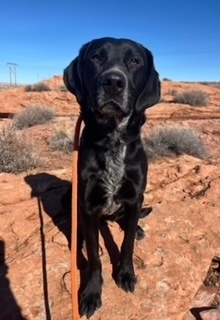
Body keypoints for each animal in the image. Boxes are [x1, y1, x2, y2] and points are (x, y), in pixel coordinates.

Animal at [63, 37, 160, 318]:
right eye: (96, 57)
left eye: (135, 61)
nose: (113, 82)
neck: (113, 138)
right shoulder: (87, 205)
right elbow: (95, 258)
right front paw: (91, 293)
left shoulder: (135, 197)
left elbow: (126, 246)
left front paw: (126, 274)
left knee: (125, 221)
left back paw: (135, 227)